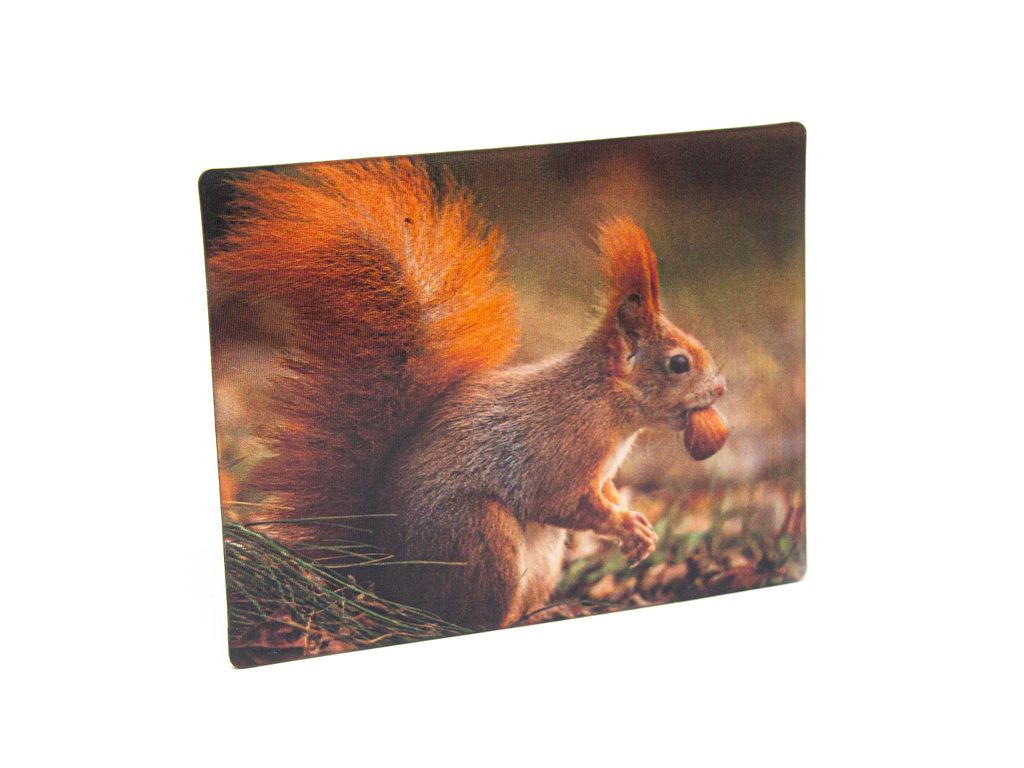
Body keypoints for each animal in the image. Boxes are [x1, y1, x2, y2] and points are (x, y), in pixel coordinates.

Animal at [208, 158, 727, 629]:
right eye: (678, 363)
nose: (721, 386)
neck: (603, 403)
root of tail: (389, 577)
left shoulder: (599, 470)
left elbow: (606, 491)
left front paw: (635, 524)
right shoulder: (561, 452)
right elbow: (564, 502)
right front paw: (625, 525)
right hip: (480, 535)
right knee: (470, 615)